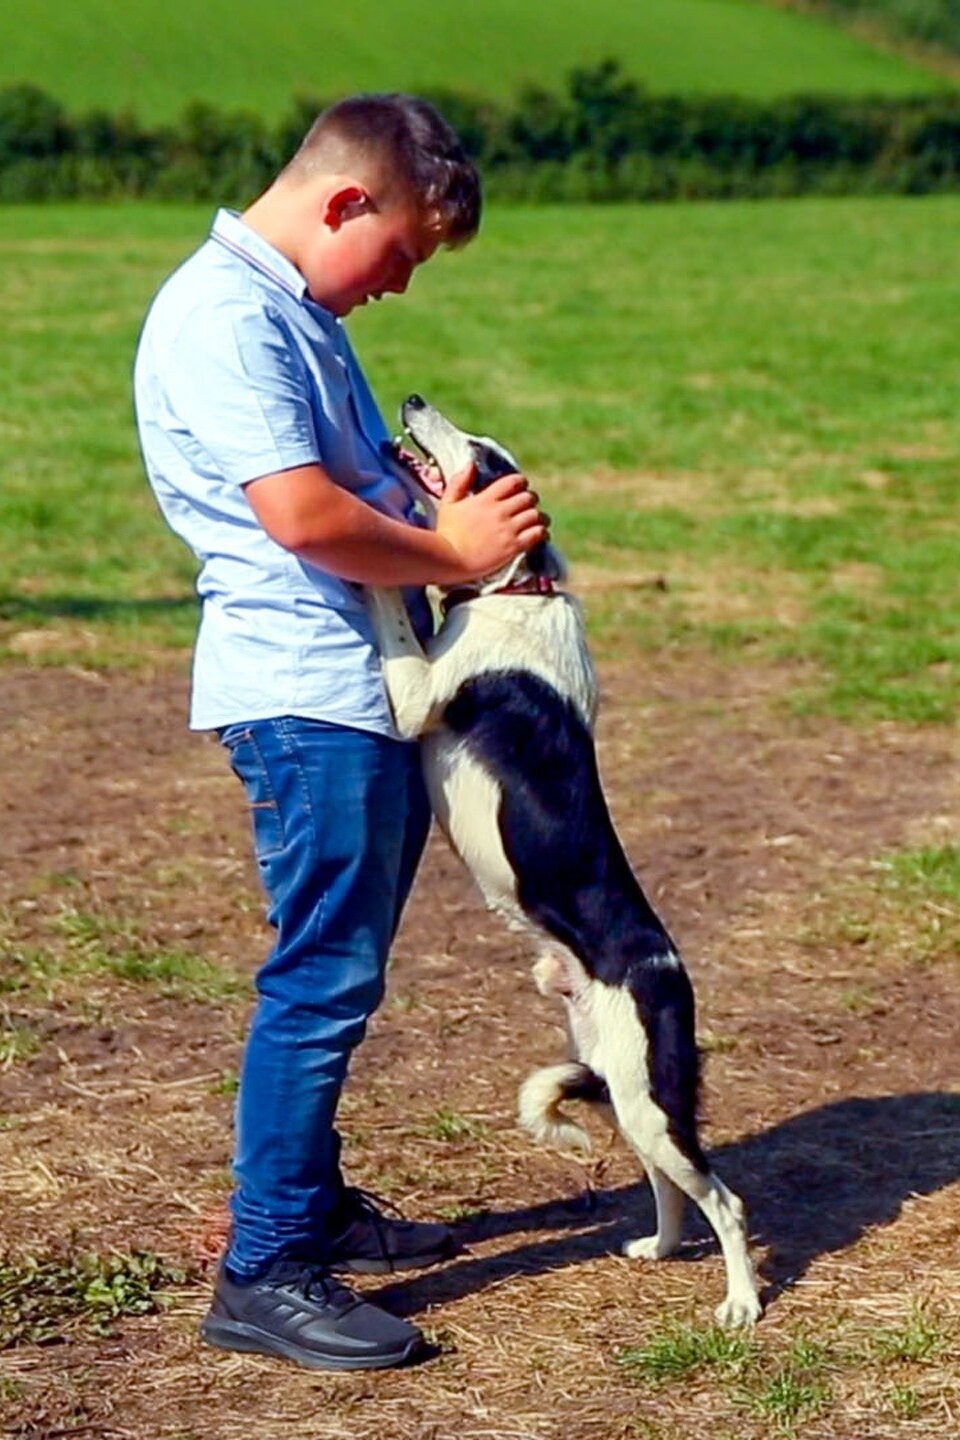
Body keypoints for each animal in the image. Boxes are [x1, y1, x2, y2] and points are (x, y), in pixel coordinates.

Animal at [371, 397, 759, 1324]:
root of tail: (668, 975)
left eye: (480, 454)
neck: (519, 589)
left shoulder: (415, 694)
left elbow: (389, 607)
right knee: (671, 1188)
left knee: (724, 1199)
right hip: (621, 1087)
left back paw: (742, 1304)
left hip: (650, 1098)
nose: (413, 401)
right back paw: (659, 1248)